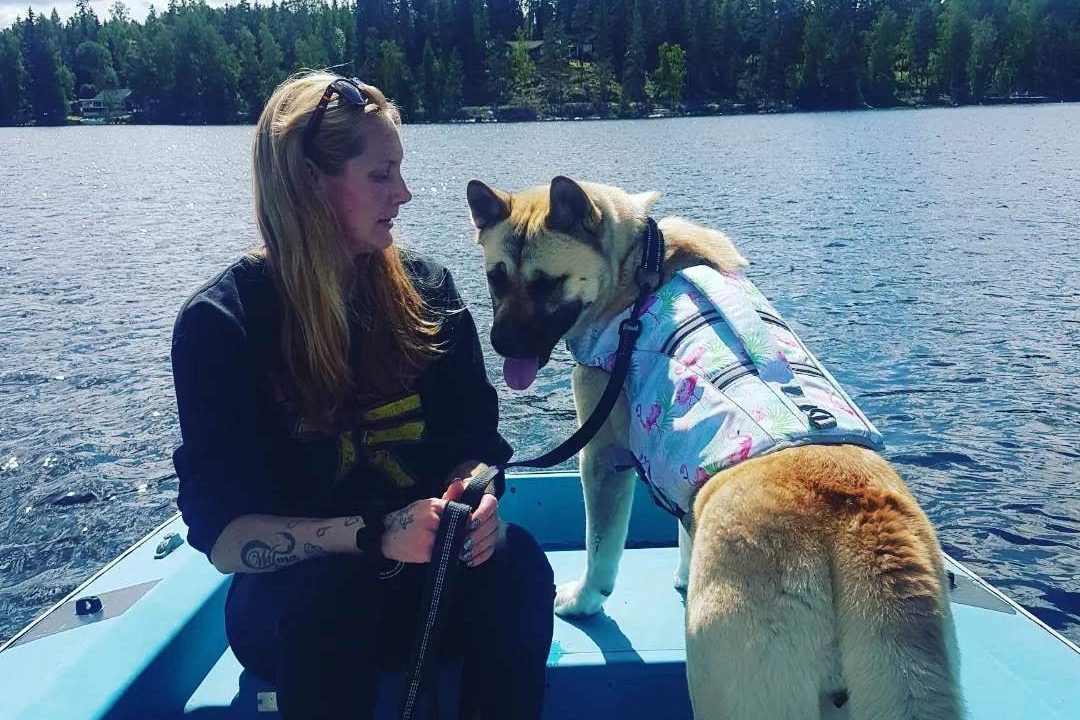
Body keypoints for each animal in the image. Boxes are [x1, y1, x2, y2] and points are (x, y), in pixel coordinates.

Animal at [466, 176, 963, 720]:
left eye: (546, 284)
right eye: (496, 278)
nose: (500, 343)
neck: (639, 266)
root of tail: (850, 522)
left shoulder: (602, 455)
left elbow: (601, 548)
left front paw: (583, 601)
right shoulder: (687, 468)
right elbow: (684, 525)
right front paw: (684, 574)